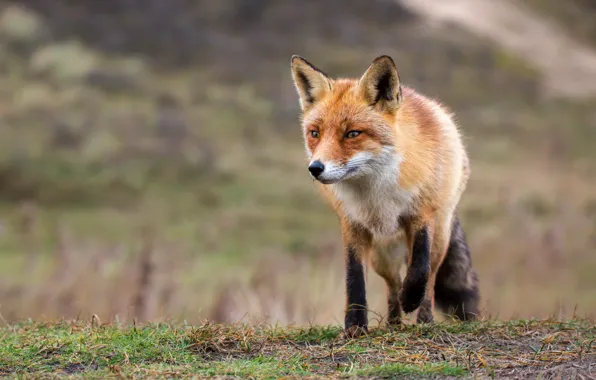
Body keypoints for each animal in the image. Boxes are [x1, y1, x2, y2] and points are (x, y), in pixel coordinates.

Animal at [288, 54, 480, 336]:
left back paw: (423, 319)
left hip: (441, 236)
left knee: (430, 278)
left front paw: (411, 299)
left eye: (352, 133)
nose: (315, 168)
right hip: (382, 255)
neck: (376, 195)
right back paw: (394, 323)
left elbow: (420, 269)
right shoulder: (352, 223)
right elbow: (354, 278)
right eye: (315, 133)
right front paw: (355, 326)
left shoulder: (421, 214)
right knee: (393, 283)